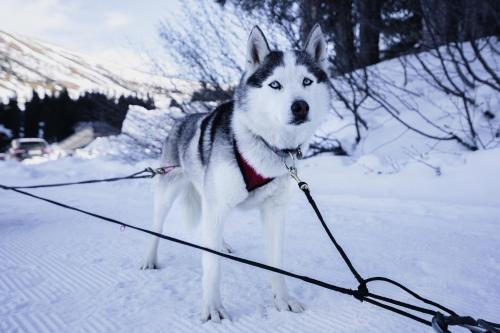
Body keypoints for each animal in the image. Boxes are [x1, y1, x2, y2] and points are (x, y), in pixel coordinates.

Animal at [141, 24, 330, 322]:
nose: (300, 106)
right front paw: (212, 308)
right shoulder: (217, 206)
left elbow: (276, 262)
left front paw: (283, 300)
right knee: (156, 228)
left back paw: (221, 244)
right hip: (168, 192)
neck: (265, 144)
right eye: (275, 84)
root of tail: (182, 120)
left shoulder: (273, 211)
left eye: (307, 81)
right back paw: (150, 259)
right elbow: (211, 267)